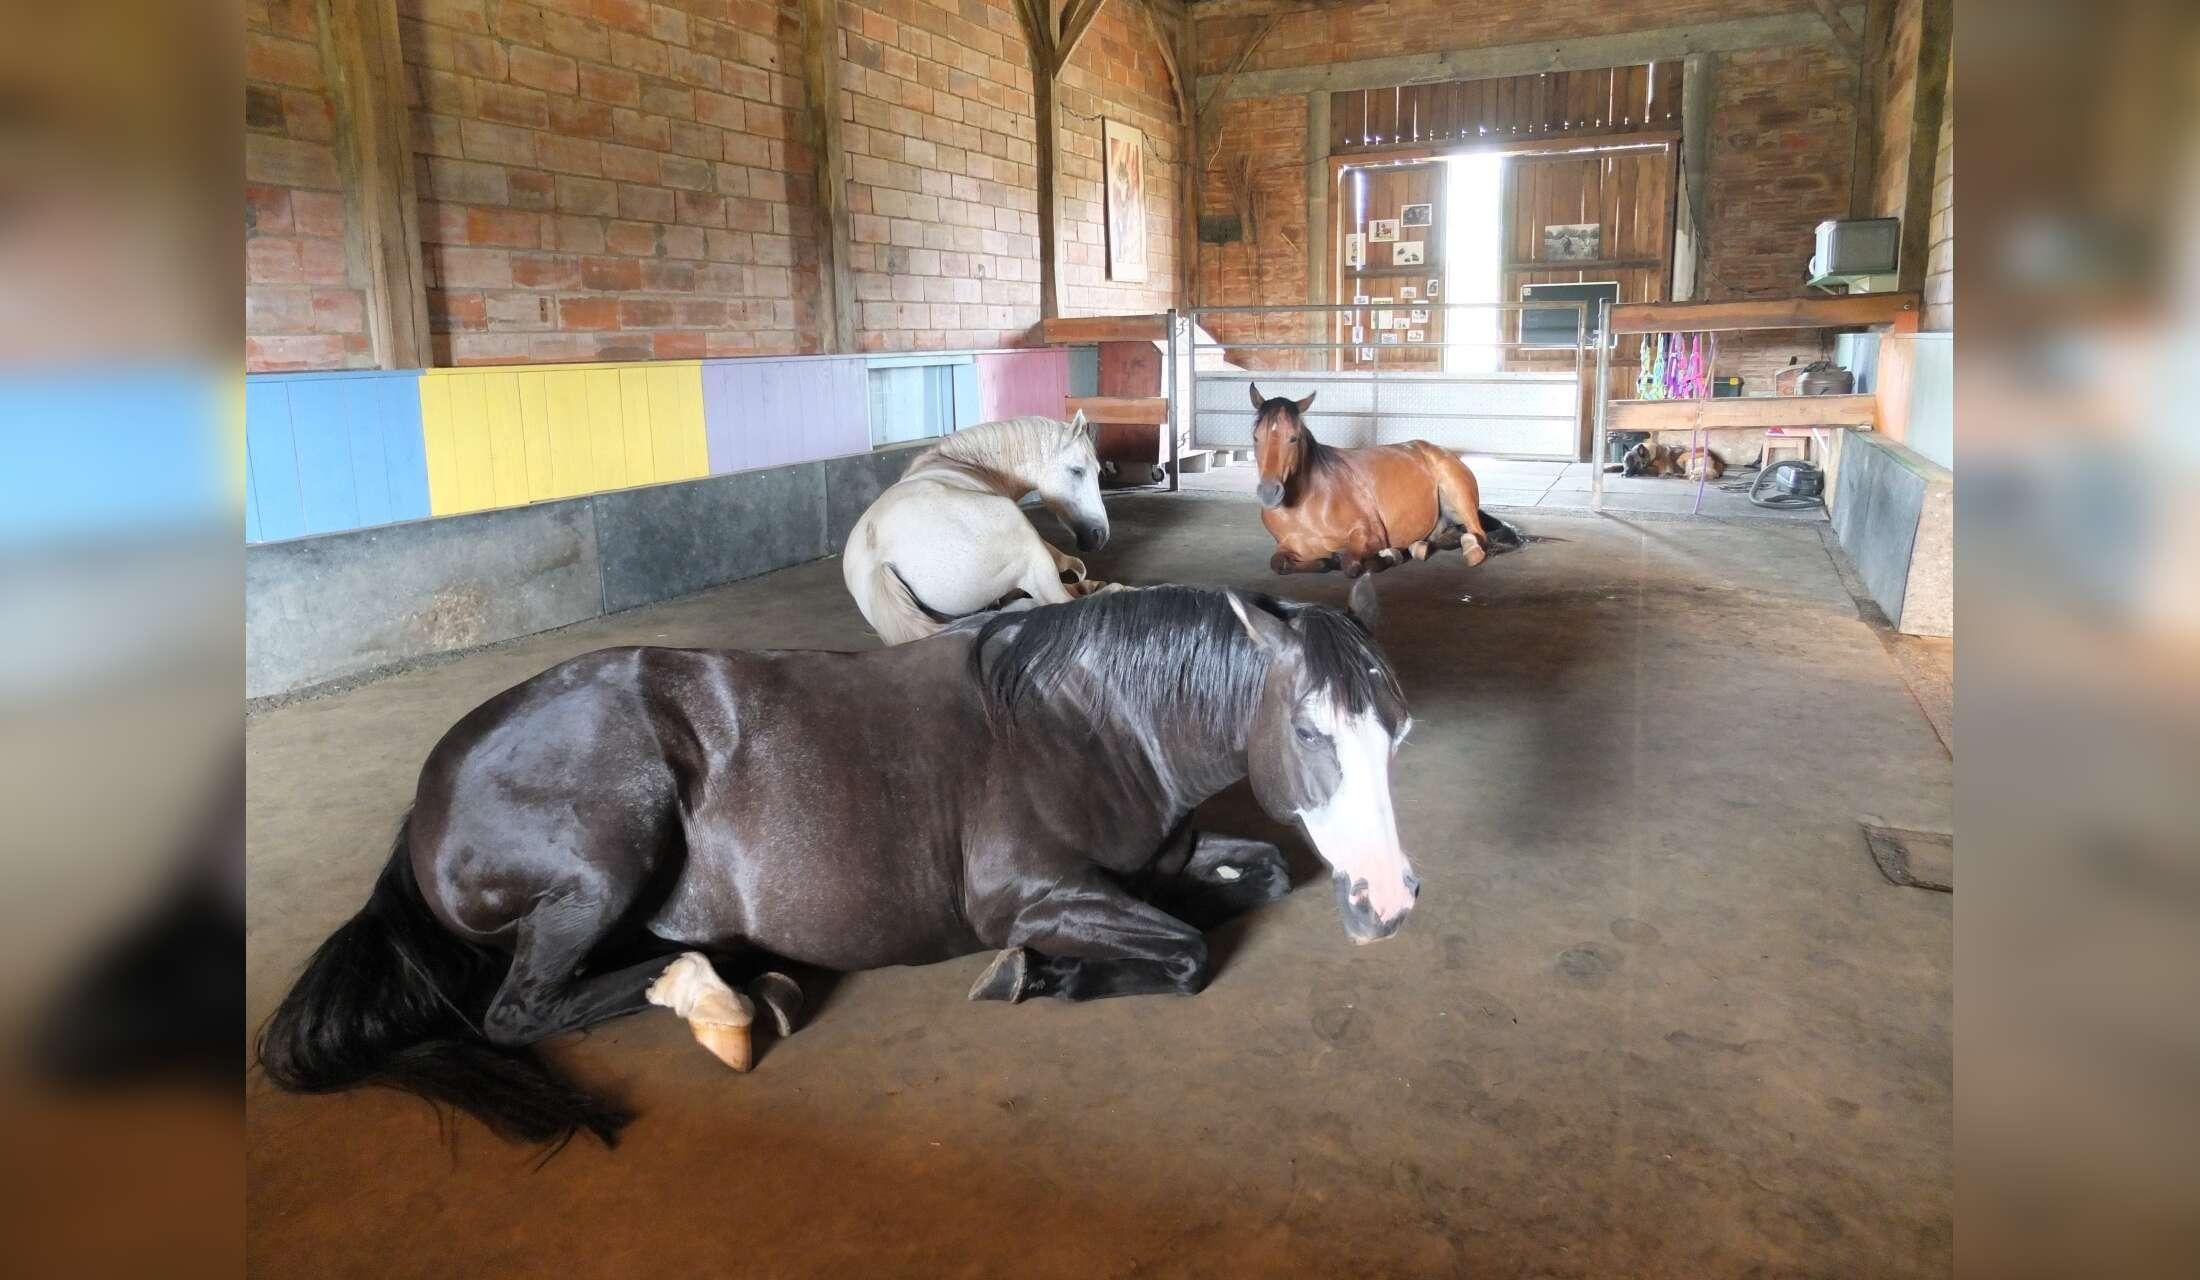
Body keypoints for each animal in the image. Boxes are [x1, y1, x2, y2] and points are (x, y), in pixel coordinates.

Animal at [257, 585, 1420, 1149]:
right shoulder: (1032, 893)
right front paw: (1037, 973)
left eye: (1396, 731)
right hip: (603, 860)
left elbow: (1256, 875)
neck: (1090, 723)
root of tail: (429, 790)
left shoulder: (1162, 857)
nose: (1390, 902)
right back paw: (722, 997)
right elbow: (1183, 952)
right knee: (519, 1008)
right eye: (1309, 729)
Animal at [1247, 384, 1521, 578]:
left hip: (1458, 495)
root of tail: (1442, 451)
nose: (1269, 492)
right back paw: (1418, 547)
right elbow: (1278, 563)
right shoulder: (1285, 546)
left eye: (1293, 438)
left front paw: (1385, 557)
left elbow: (1351, 564)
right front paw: (1326, 560)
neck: (1306, 506)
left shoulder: (1369, 535)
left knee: (1477, 534)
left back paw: (1469, 549)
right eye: (1256, 437)